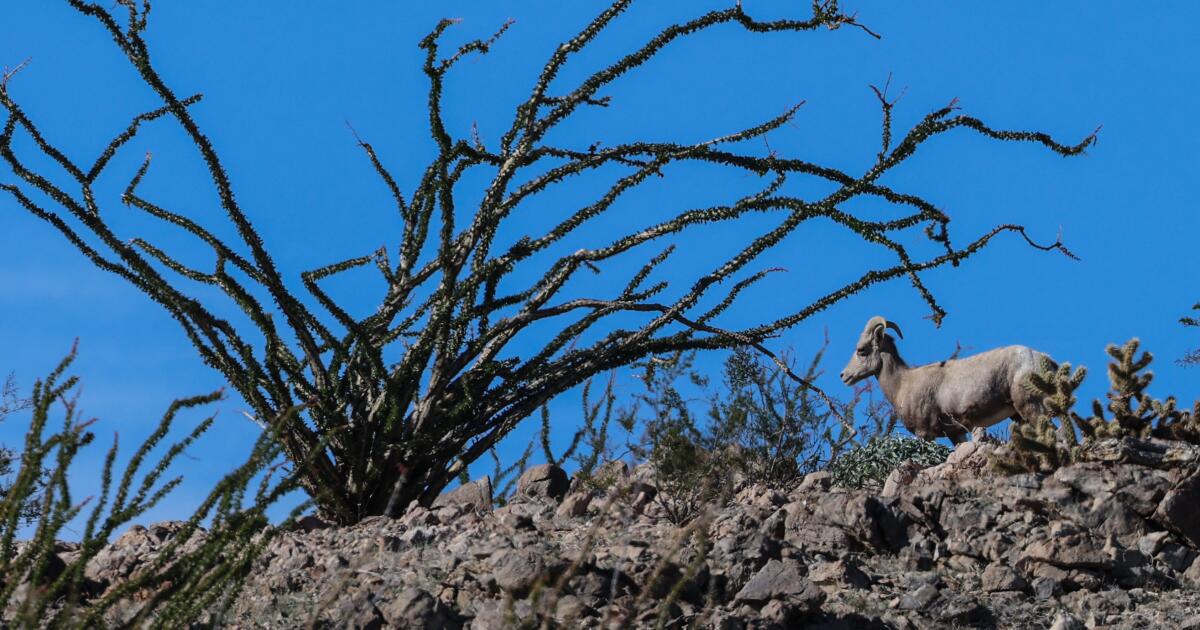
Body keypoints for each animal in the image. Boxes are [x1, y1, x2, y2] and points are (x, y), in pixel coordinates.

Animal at [839, 315, 1052, 443]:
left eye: (861, 350)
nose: (843, 375)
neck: (902, 383)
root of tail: (1041, 359)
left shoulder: (924, 434)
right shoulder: (955, 433)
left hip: (1030, 408)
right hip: (1019, 415)